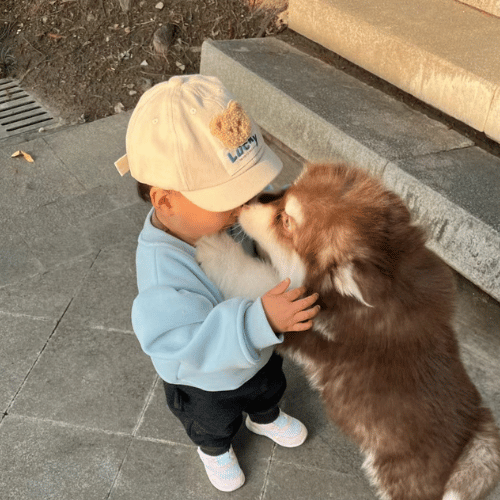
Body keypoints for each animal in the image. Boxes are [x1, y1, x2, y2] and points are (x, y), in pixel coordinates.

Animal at [195, 164, 500, 500]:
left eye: (285, 221)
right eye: (286, 191)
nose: (248, 201)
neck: (394, 277)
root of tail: (474, 439)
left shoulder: (301, 322)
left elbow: (256, 281)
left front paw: (216, 248)